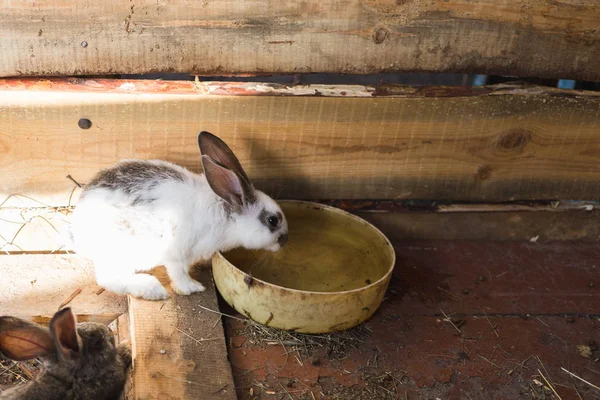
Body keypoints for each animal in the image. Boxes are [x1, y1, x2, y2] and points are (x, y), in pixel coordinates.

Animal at [69, 131, 290, 300]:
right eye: (273, 220)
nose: (285, 240)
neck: (225, 214)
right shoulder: (177, 255)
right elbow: (179, 274)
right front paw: (192, 287)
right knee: (108, 278)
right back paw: (152, 289)